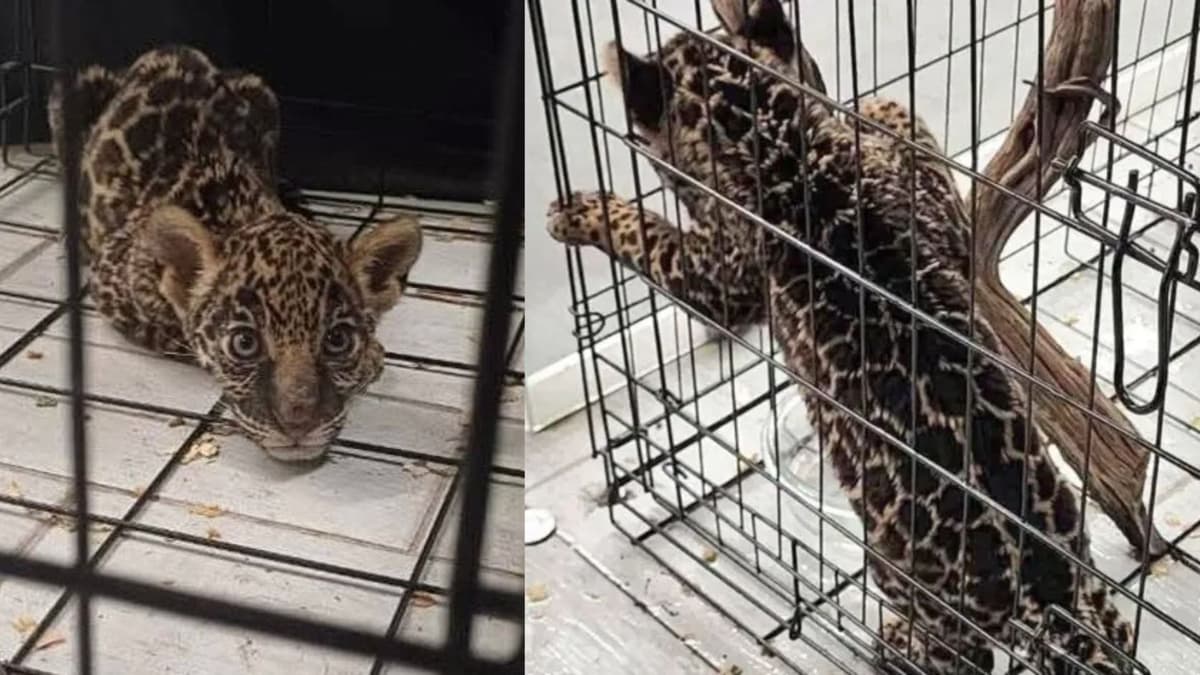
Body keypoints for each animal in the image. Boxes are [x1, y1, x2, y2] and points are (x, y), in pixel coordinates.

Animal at [47, 46, 423, 463]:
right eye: (244, 344)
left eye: (337, 340)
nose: (298, 422)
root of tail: (171, 50)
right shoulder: (112, 277)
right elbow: (181, 336)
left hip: (262, 95)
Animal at [545, 1, 1134, 673]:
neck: (778, 146)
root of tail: (1044, 588)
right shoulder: (932, 212)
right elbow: (897, 120)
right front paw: (868, 109)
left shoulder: (721, 277)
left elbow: (648, 234)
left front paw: (577, 211)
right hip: (1088, 574)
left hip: (914, 587)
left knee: (952, 655)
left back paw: (892, 642)